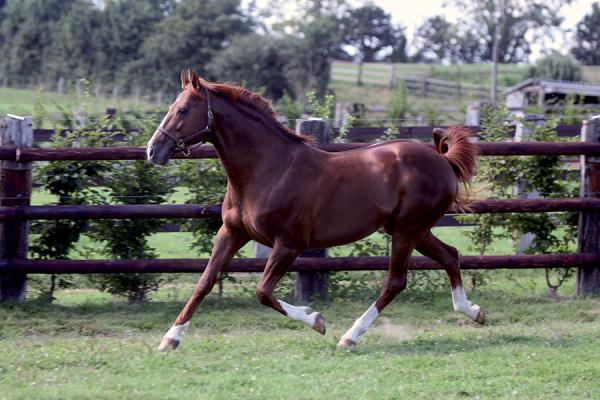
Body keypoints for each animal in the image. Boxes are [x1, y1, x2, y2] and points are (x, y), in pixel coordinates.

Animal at [148, 72, 486, 350]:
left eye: (182, 110)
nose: (153, 150)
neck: (269, 169)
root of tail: (443, 160)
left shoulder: (290, 244)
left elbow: (263, 291)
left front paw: (317, 321)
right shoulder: (232, 232)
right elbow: (205, 281)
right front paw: (170, 338)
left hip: (407, 230)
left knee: (396, 281)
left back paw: (350, 337)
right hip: (411, 229)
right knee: (450, 256)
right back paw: (473, 311)